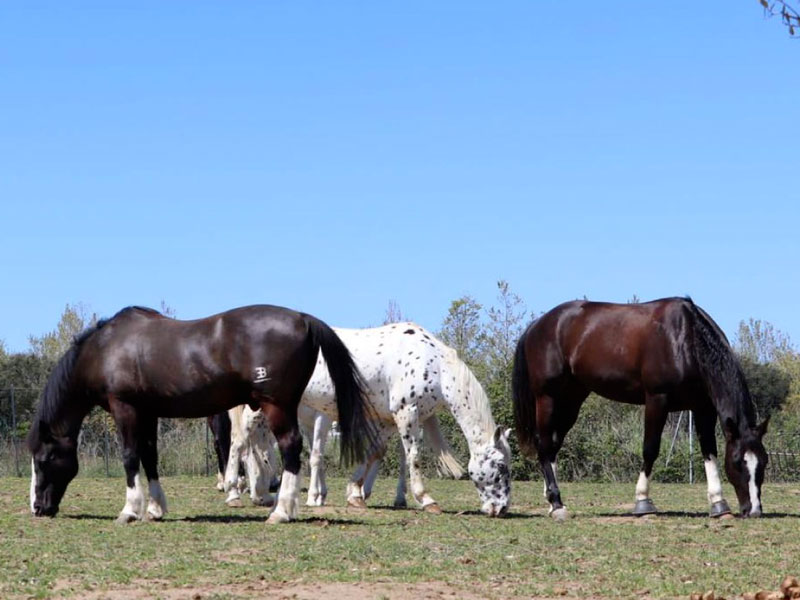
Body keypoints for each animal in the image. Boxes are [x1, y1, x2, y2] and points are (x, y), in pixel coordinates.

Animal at [27, 304, 376, 524]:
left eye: (44, 459)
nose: (38, 508)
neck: (106, 349)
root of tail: (303, 318)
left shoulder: (125, 409)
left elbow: (129, 456)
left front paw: (130, 510)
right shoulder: (148, 413)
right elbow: (149, 457)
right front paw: (155, 508)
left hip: (276, 406)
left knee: (291, 447)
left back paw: (281, 511)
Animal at [224, 322, 512, 516]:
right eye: (500, 466)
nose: (502, 508)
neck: (434, 364)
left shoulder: (387, 419)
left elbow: (374, 452)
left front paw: (355, 493)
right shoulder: (406, 413)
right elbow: (414, 457)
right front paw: (425, 499)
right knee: (239, 444)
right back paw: (233, 492)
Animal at [512, 297, 769, 520]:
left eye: (764, 462)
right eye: (738, 462)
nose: (754, 510)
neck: (685, 339)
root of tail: (539, 324)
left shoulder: (703, 407)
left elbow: (709, 451)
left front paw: (719, 504)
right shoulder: (657, 400)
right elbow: (650, 449)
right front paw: (643, 502)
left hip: (572, 398)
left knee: (554, 445)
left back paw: (551, 500)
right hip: (547, 397)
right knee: (544, 444)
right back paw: (557, 504)